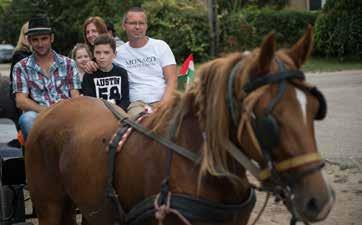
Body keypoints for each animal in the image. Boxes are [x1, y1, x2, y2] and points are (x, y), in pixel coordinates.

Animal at [24, 26, 334, 225]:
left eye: (315, 109)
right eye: (268, 119)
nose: (320, 200)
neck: (198, 162)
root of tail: (50, 110)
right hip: (49, 204)